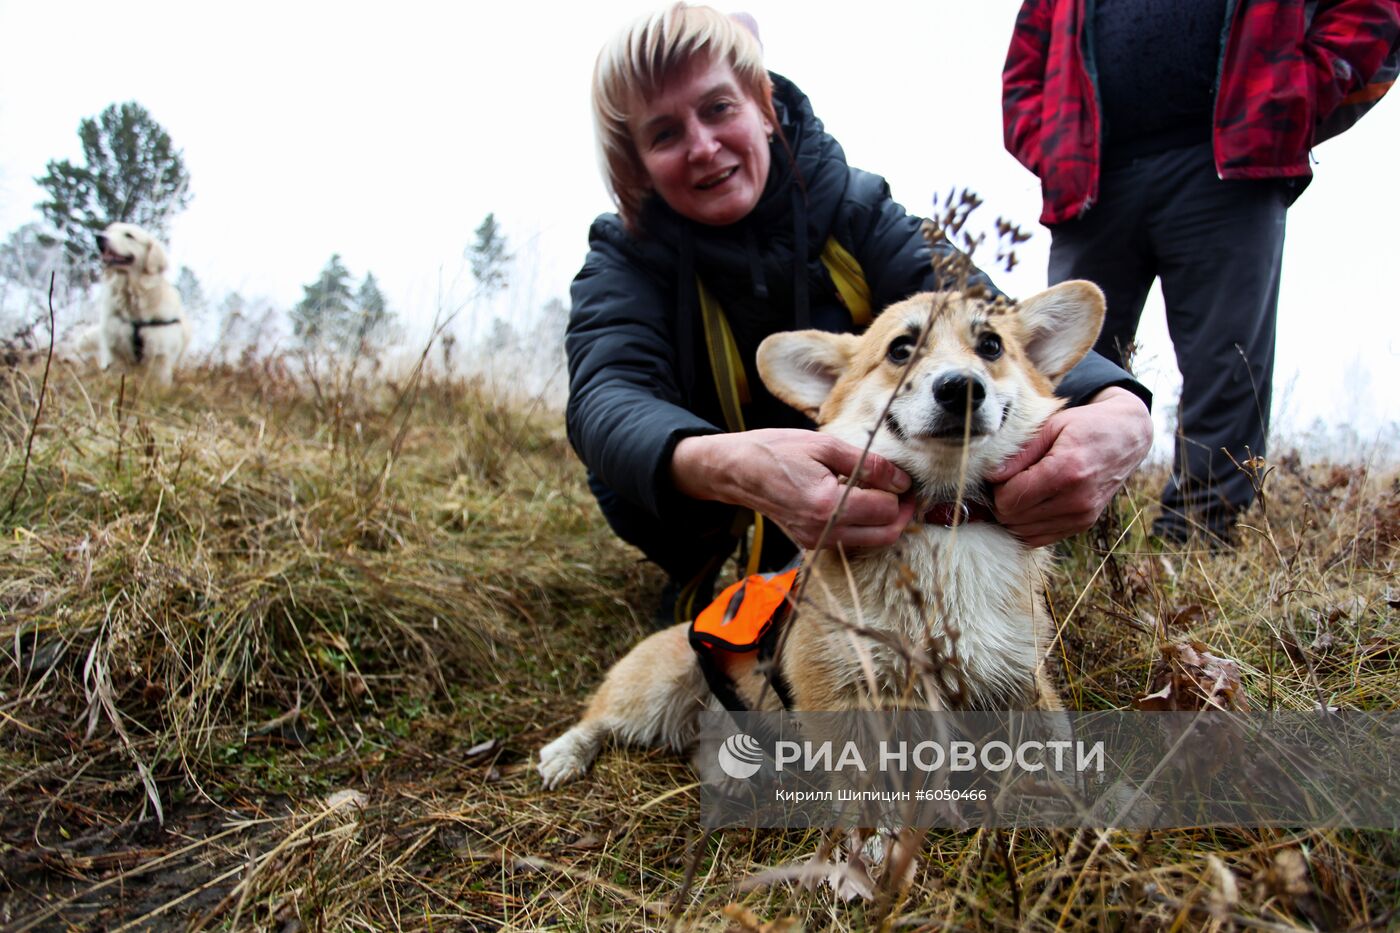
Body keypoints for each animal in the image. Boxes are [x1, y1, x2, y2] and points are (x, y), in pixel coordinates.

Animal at [534, 277, 1103, 784]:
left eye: (991, 346)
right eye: (901, 350)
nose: (961, 387)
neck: (944, 516)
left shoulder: (1020, 673)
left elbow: (1056, 744)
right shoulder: (839, 687)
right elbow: (865, 789)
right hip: (656, 687)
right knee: (599, 716)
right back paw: (564, 753)